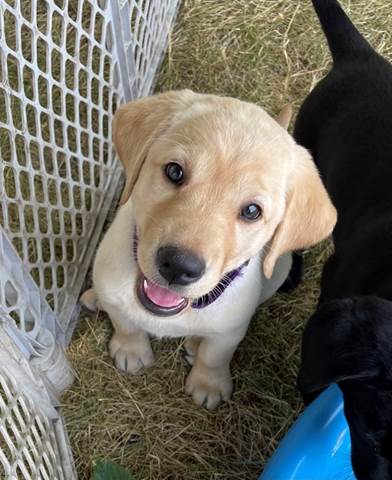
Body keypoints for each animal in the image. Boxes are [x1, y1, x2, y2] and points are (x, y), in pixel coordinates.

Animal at [80, 89, 336, 408]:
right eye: (174, 171)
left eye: (252, 211)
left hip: (280, 269)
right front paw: (131, 350)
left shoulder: (231, 330)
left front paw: (208, 383)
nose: (178, 266)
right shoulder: (114, 291)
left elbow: (214, 355)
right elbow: (125, 324)